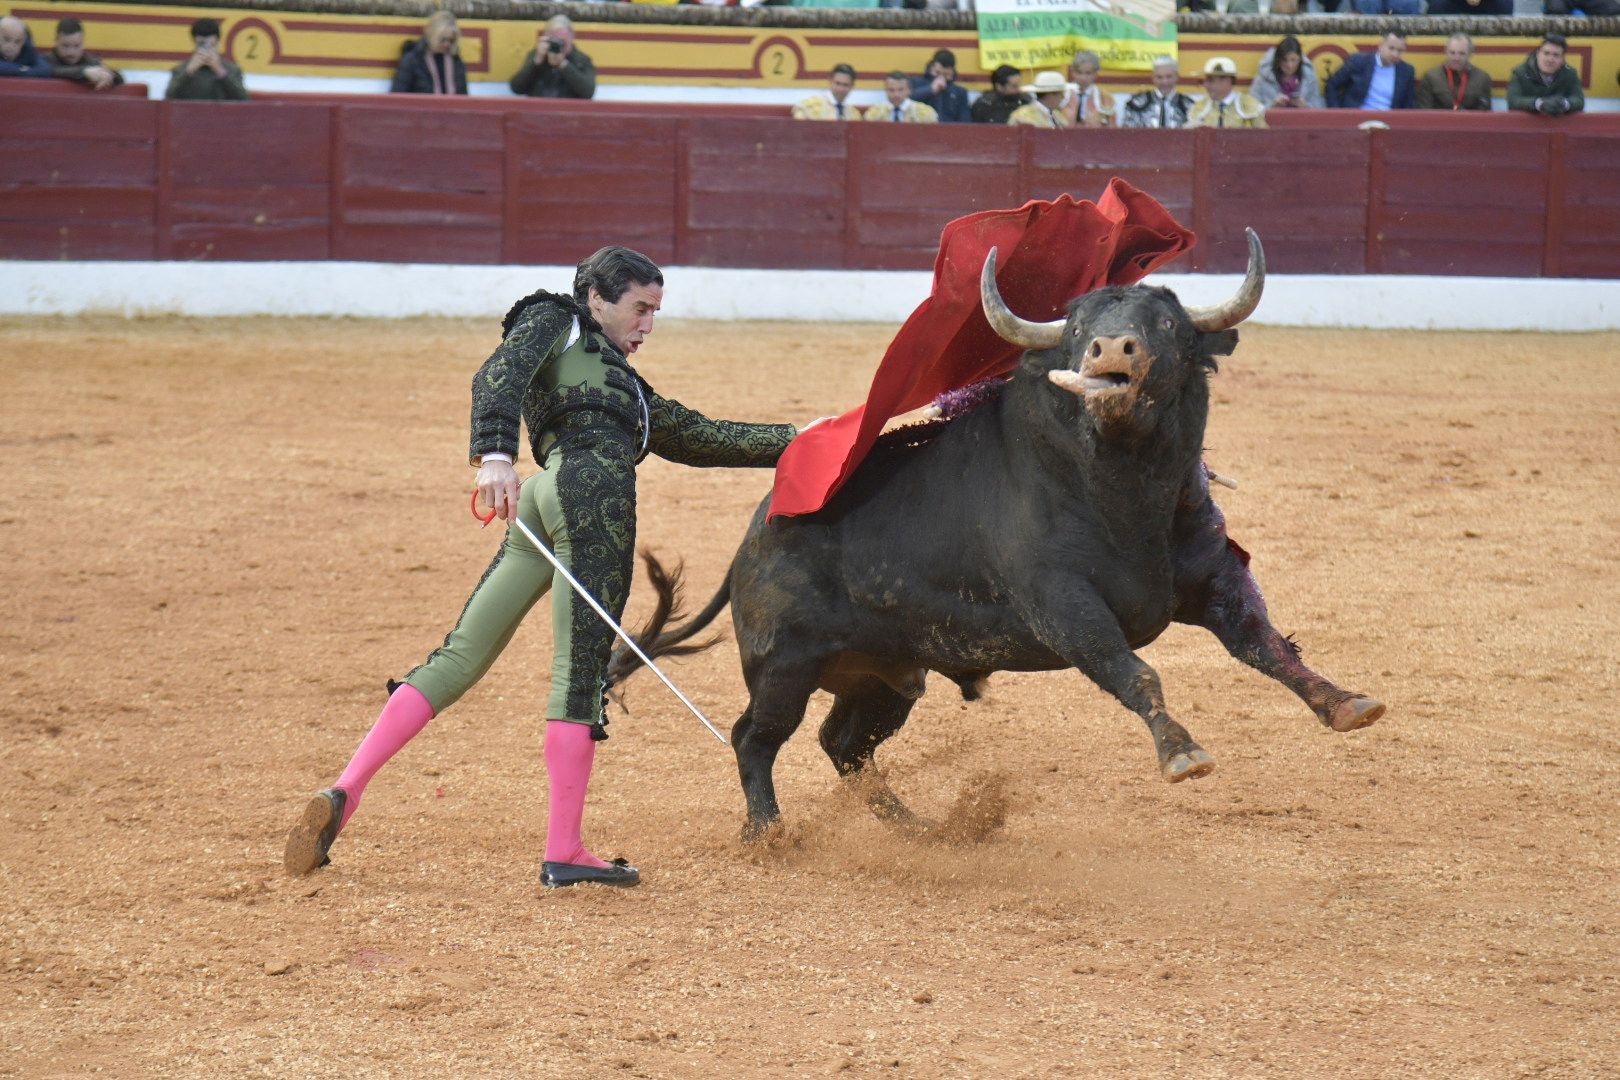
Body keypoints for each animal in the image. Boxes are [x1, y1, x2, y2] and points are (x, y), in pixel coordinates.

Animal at [612, 233, 1386, 841]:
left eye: (1166, 323)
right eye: (1076, 327)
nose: (1111, 348)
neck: (1122, 491)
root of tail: (754, 536)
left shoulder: (1213, 574)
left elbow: (1264, 642)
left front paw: (1347, 703)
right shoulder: (1061, 604)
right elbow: (1135, 669)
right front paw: (1183, 754)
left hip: (889, 674)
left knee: (845, 745)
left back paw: (922, 828)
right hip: (786, 666)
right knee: (756, 737)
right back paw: (768, 833)